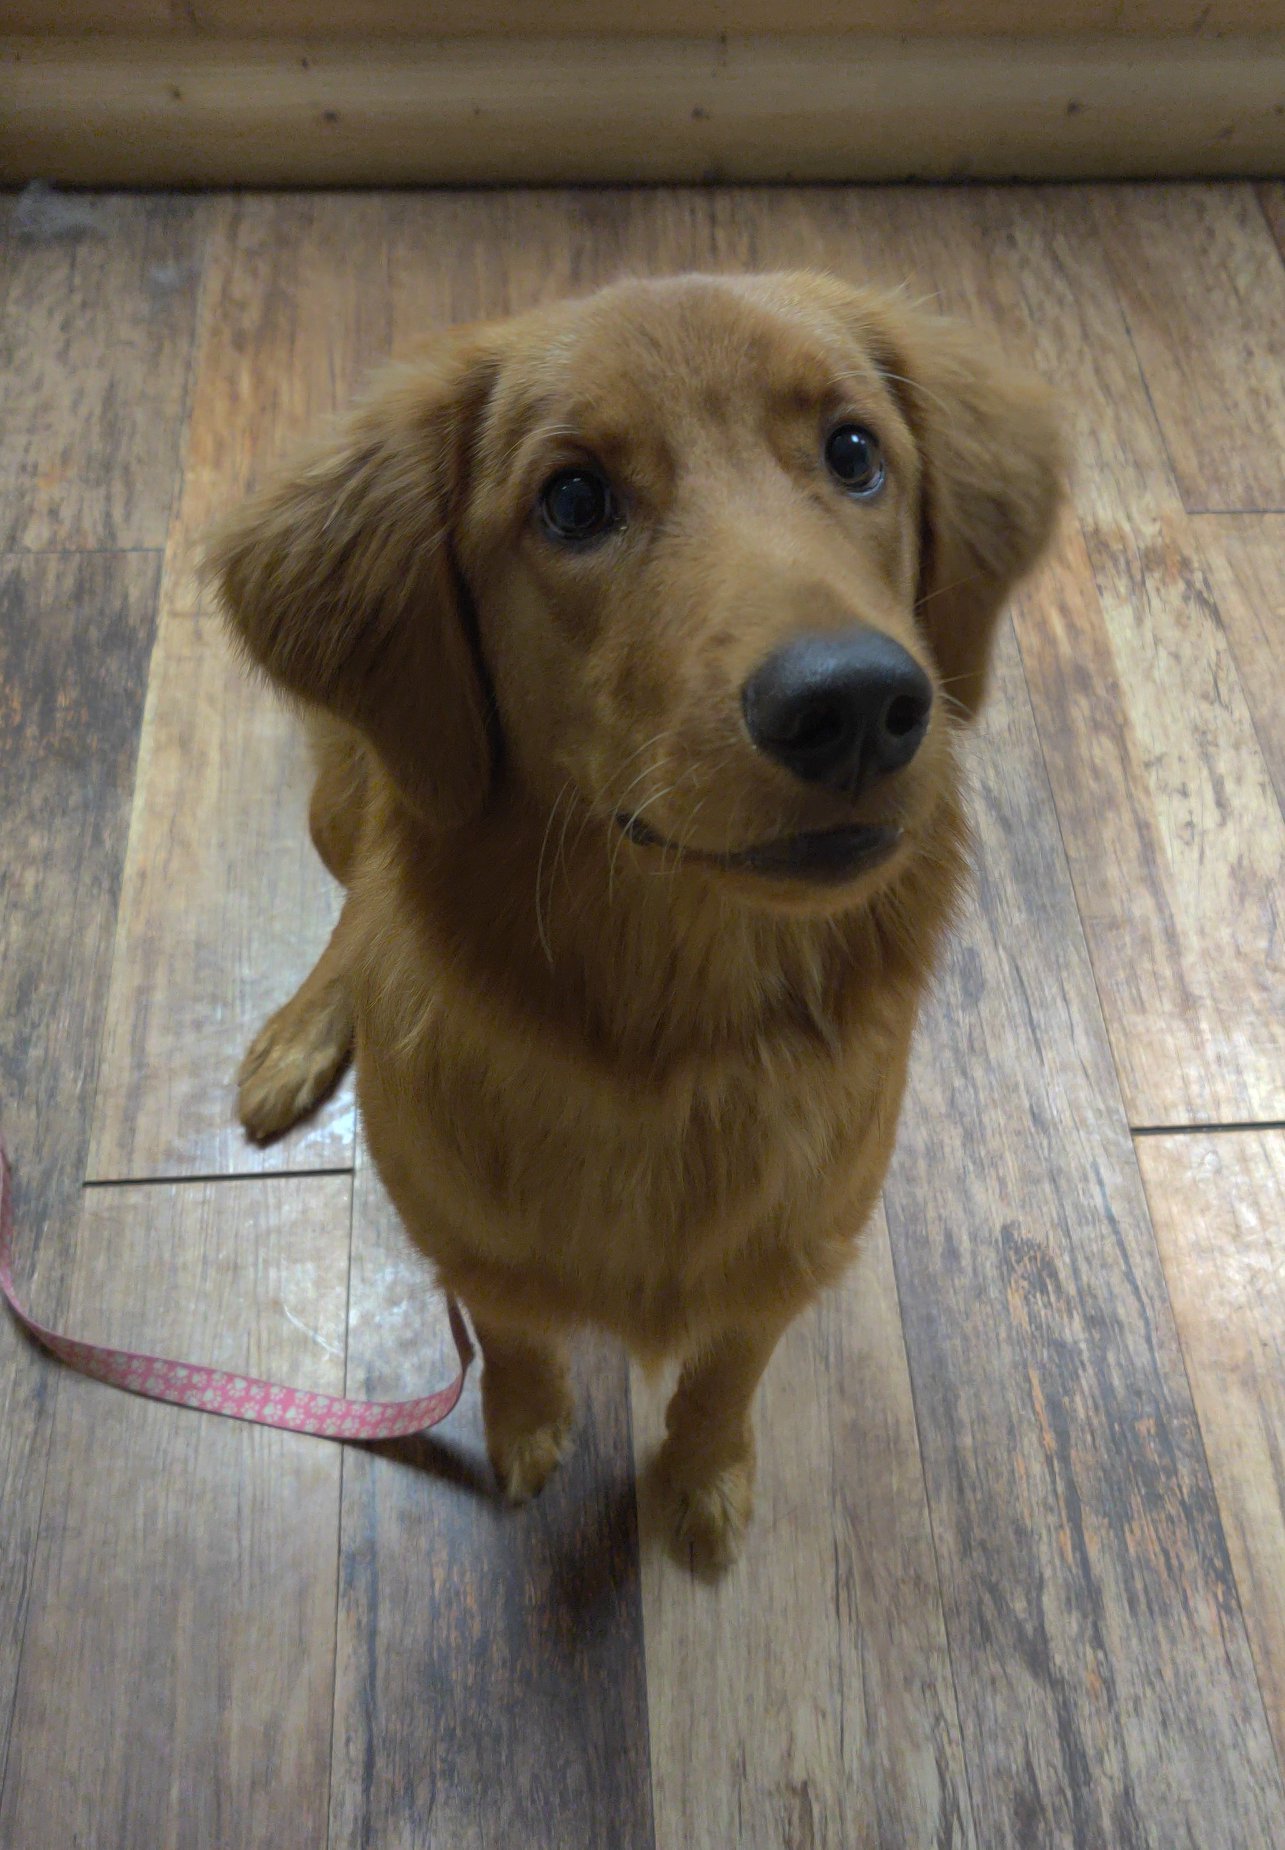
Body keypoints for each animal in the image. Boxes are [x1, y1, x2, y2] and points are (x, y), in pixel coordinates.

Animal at [212, 272, 1063, 1572]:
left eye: (854, 450)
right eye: (572, 500)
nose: (855, 703)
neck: (678, 1041)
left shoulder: (793, 1253)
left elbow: (725, 1371)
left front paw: (703, 1475)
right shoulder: (469, 1247)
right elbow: (514, 1338)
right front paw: (525, 1426)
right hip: (346, 799)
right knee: (359, 905)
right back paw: (301, 1032)